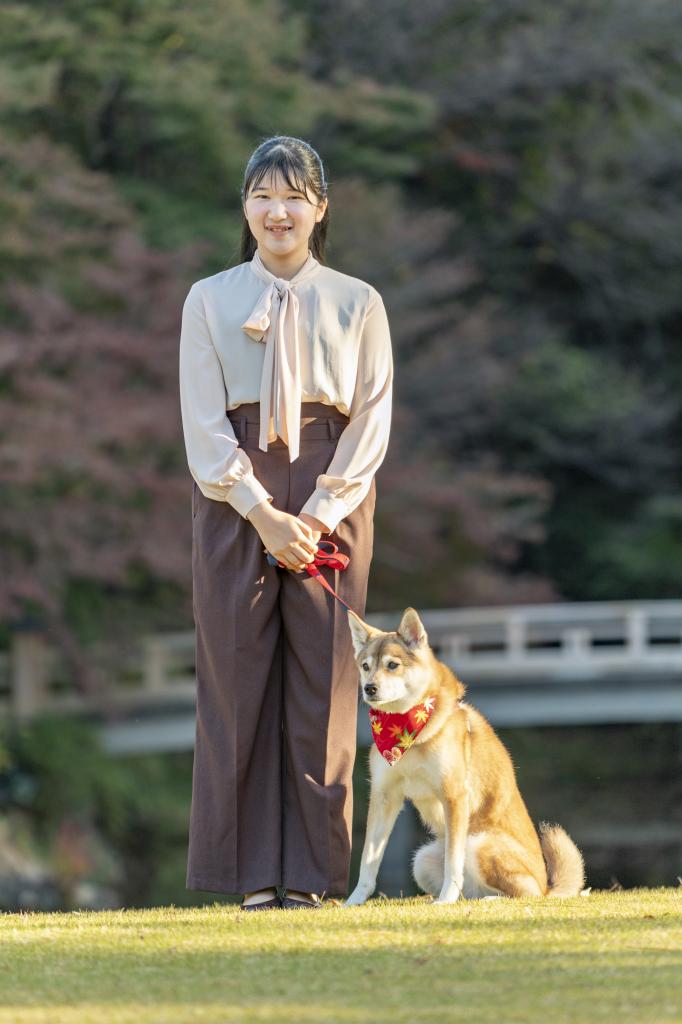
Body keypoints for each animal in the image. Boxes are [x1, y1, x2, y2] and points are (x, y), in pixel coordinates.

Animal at [346, 606, 585, 905]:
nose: (370, 688)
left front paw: (445, 899)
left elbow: (453, 861)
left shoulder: (454, 795)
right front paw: (353, 901)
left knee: (524, 894)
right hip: (422, 860)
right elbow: (368, 861)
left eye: (392, 665)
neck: (408, 733)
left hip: (479, 842)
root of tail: (547, 886)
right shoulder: (385, 796)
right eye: (365, 666)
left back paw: (485, 900)